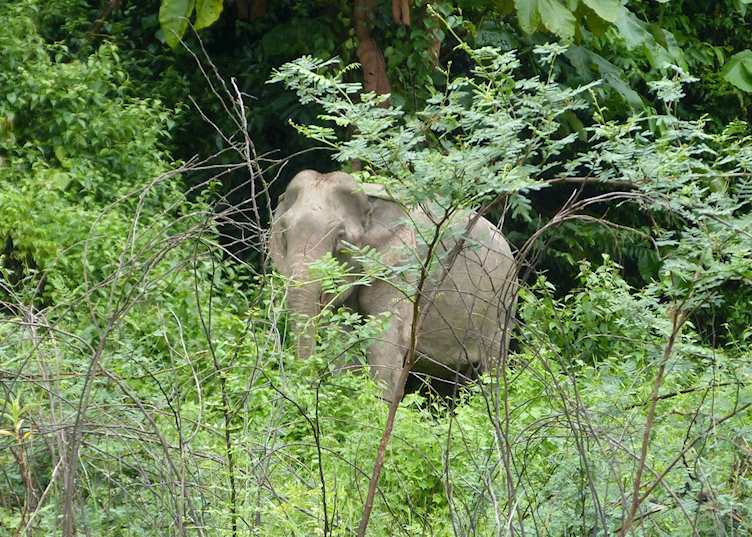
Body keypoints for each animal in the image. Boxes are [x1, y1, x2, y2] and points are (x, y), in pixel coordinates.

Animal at [269, 170, 517, 401]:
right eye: (283, 234)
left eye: (340, 238)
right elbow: (342, 336)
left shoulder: (404, 264)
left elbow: (385, 340)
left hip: (501, 306)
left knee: (491, 366)